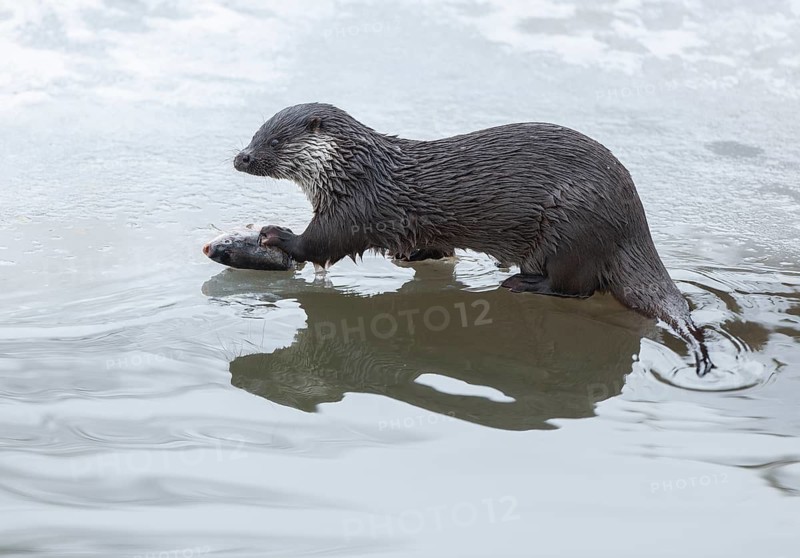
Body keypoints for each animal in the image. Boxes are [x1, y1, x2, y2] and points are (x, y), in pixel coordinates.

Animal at [233, 103, 713, 375]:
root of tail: (633, 223)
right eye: (254, 134)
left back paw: (522, 282)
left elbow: (320, 245)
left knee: (576, 285)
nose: (242, 157)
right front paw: (413, 256)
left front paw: (277, 235)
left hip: (572, 222)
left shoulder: (354, 210)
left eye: (274, 141)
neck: (355, 173)